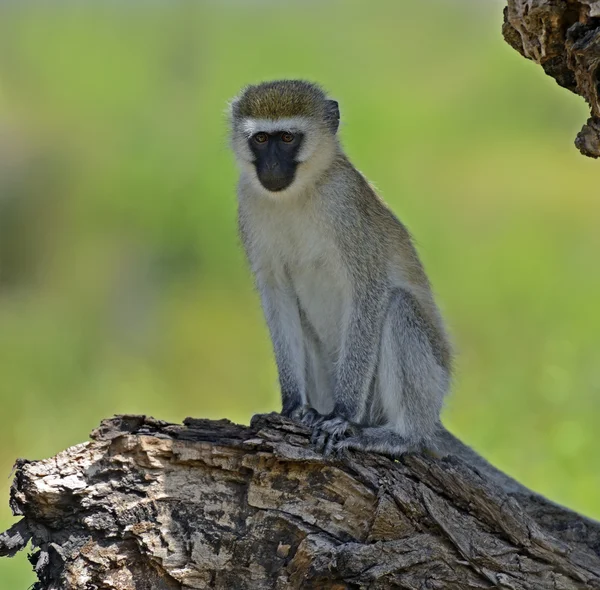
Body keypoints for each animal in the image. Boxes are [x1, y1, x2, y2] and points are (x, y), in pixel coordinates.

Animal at [229, 80, 524, 490]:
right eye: (260, 139)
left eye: (287, 138)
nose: (271, 168)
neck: (299, 194)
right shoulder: (248, 204)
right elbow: (277, 295)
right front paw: (292, 407)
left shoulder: (346, 207)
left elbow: (369, 291)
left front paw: (341, 416)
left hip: (416, 389)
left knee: (398, 307)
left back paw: (400, 436)